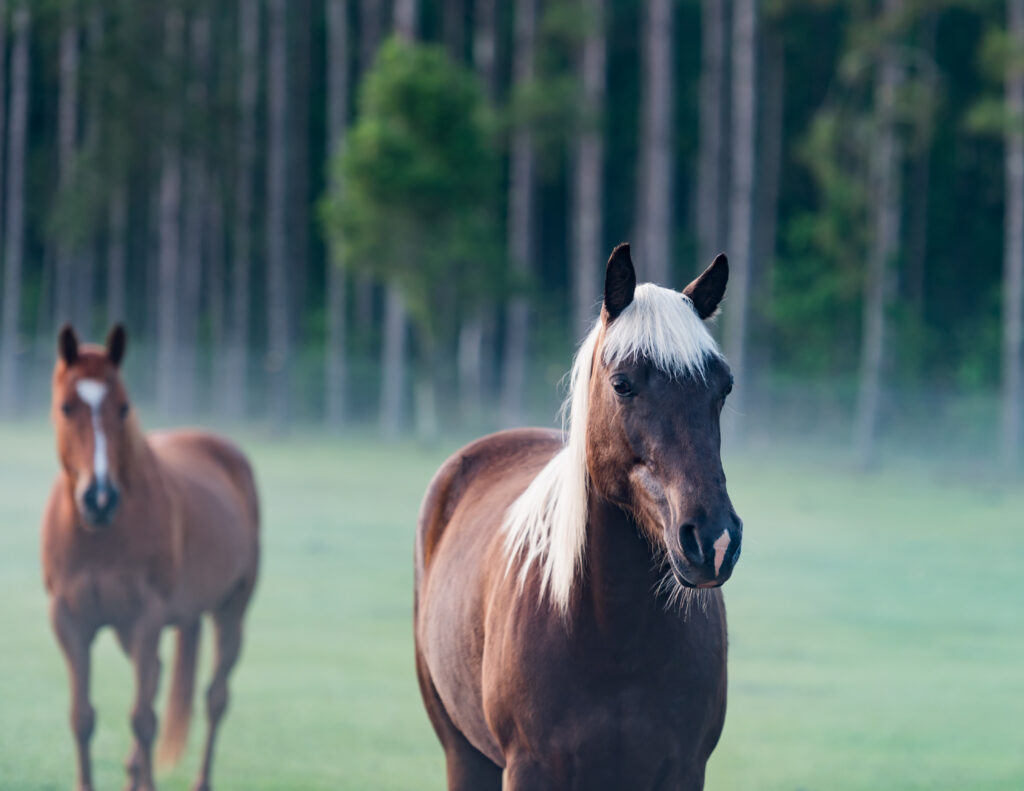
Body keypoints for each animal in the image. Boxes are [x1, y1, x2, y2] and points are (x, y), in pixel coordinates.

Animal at [42, 323, 260, 786]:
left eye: (123, 407)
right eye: (67, 407)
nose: (100, 498)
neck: (100, 536)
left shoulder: (147, 619)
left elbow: (143, 719)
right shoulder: (69, 621)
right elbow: (82, 717)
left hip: (230, 610)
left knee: (215, 698)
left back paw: (197, 781)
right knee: (159, 679)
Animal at [415, 243, 745, 786]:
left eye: (724, 388)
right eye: (623, 384)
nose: (713, 540)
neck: (614, 633)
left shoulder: (684, 771)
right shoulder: (527, 770)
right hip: (460, 753)